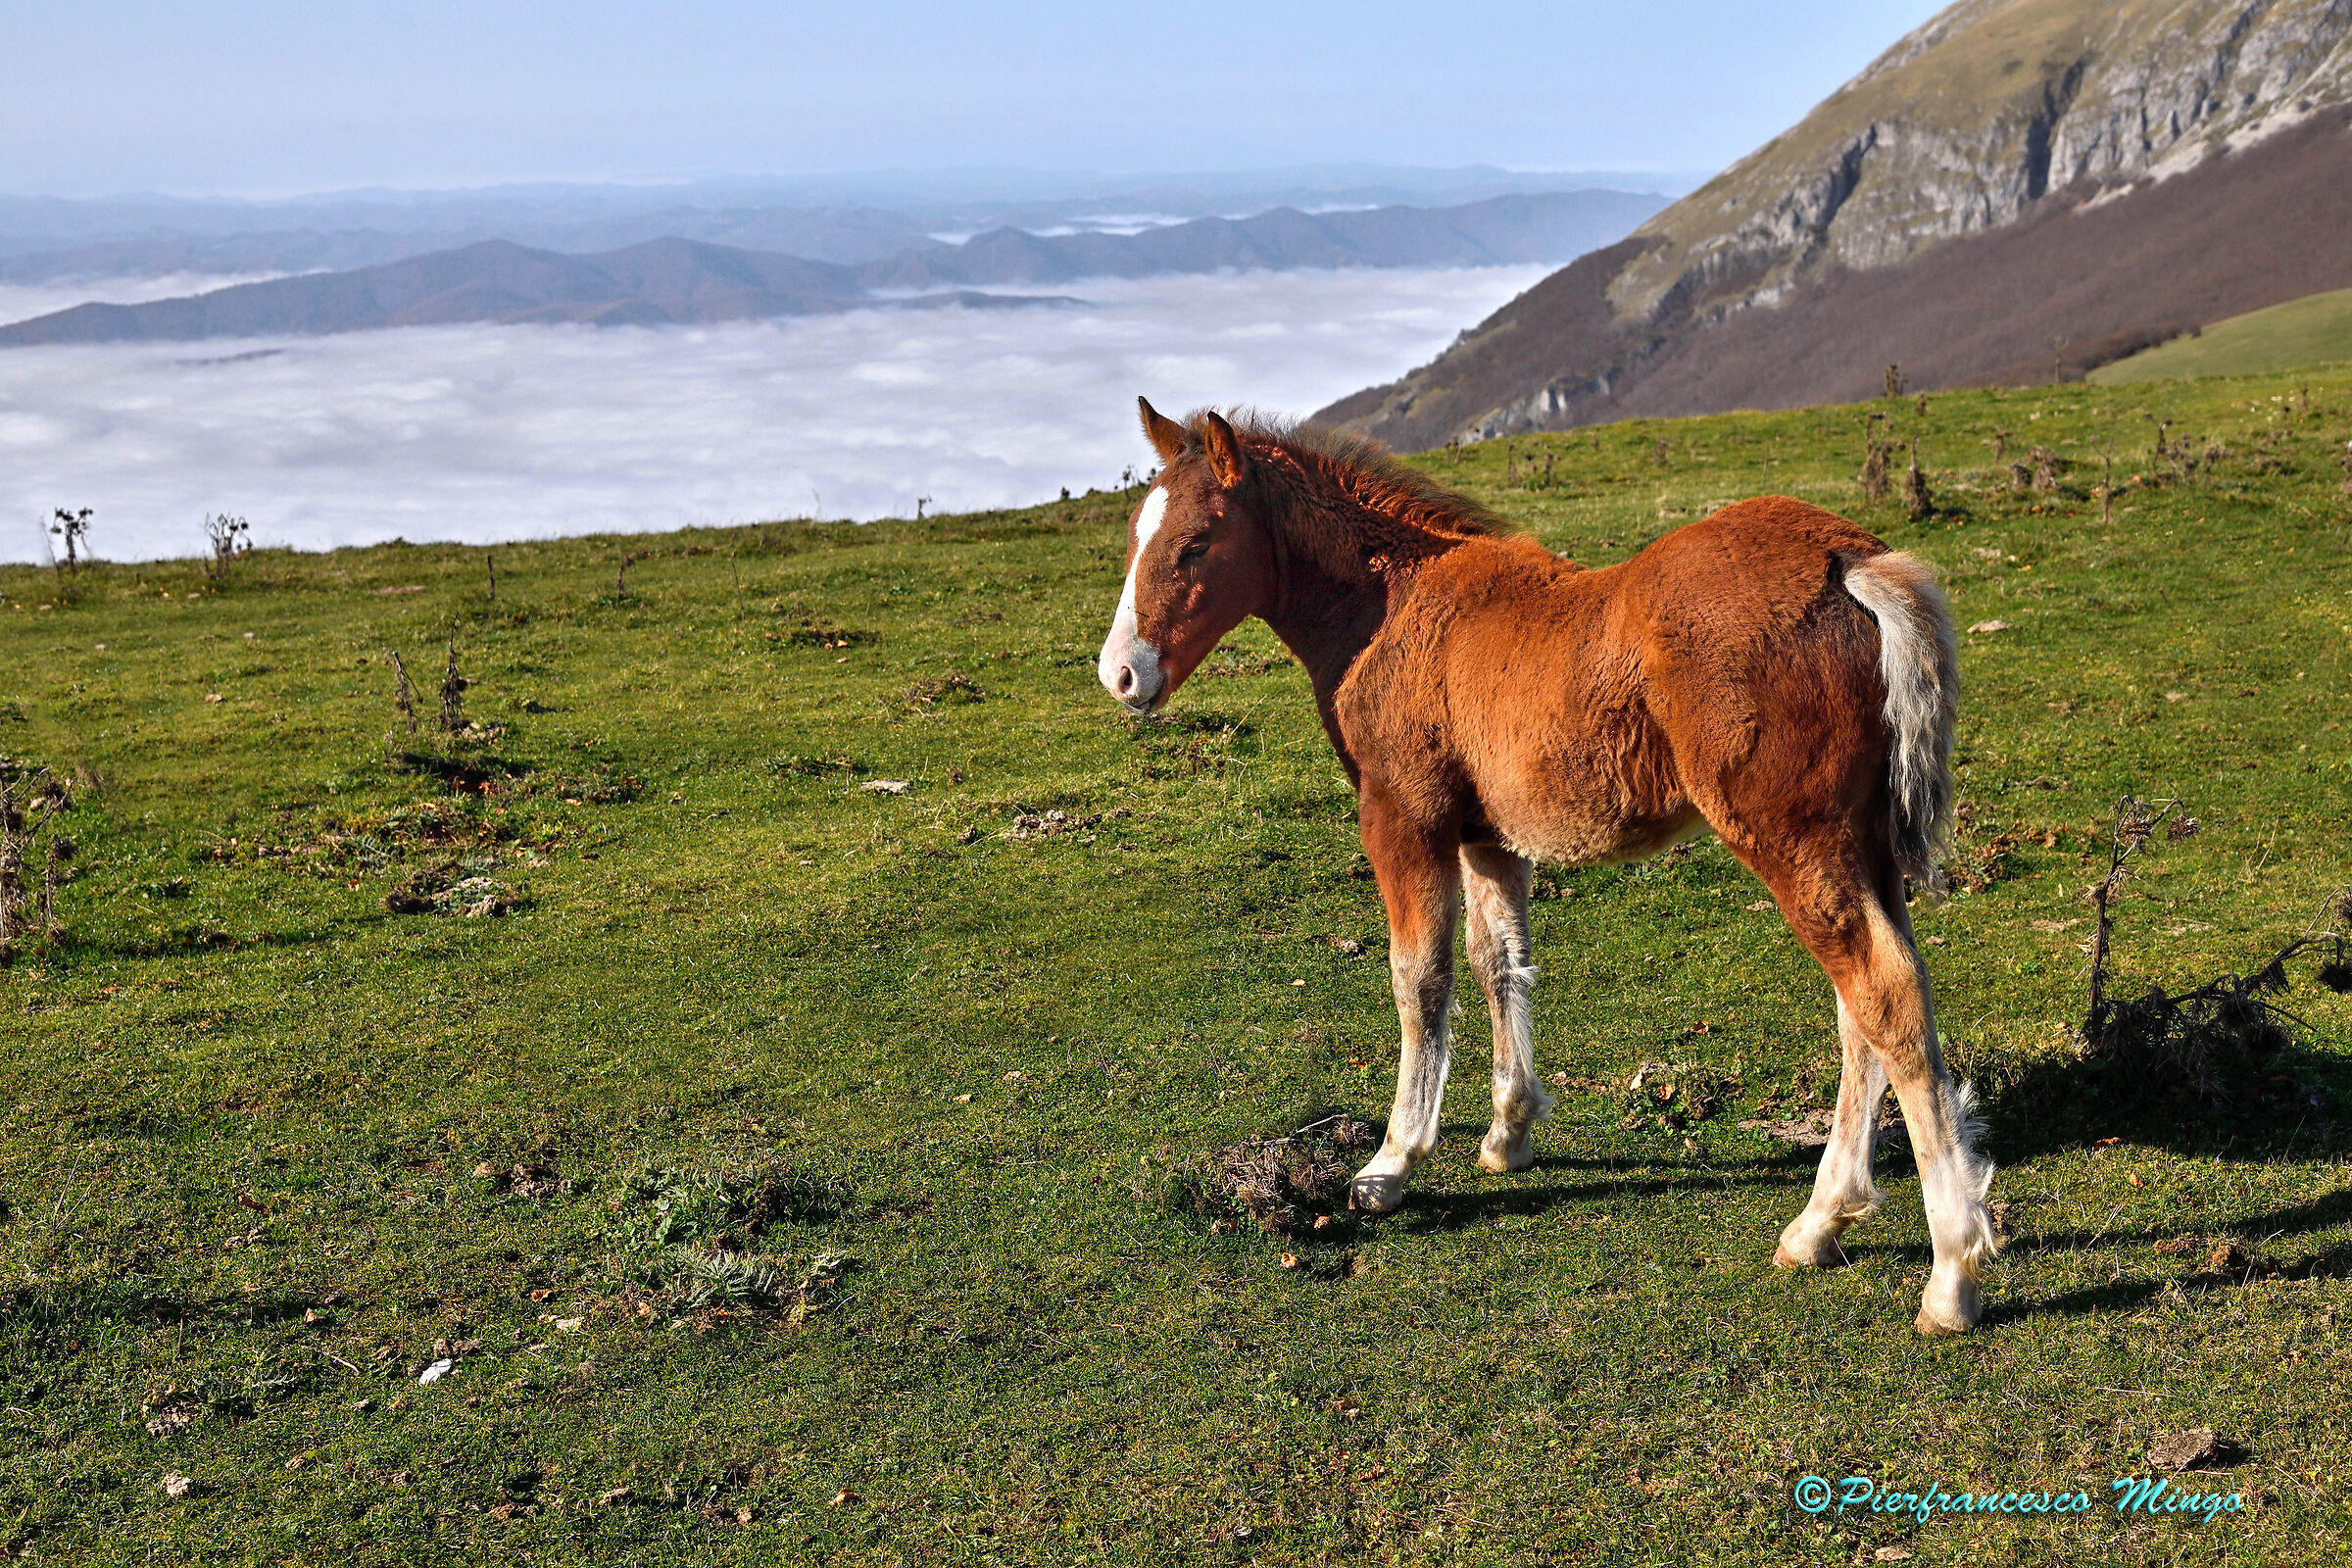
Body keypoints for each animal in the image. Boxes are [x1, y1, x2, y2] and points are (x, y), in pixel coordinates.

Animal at [1095, 398, 1999, 1334]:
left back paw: (1950, 1273)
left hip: (1790, 837)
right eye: (1133, 535)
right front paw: (1509, 1133)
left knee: (1881, 993)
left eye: (1196, 543)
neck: (1389, 608)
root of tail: (1850, 560)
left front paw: (1393, 1161)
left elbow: (1419, 978)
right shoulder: (1486, 836)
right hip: (1860, 841)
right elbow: (1499, 964)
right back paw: (1821, 1223)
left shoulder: (1404, 819)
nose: (1120, 675)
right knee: (1867, 1003)